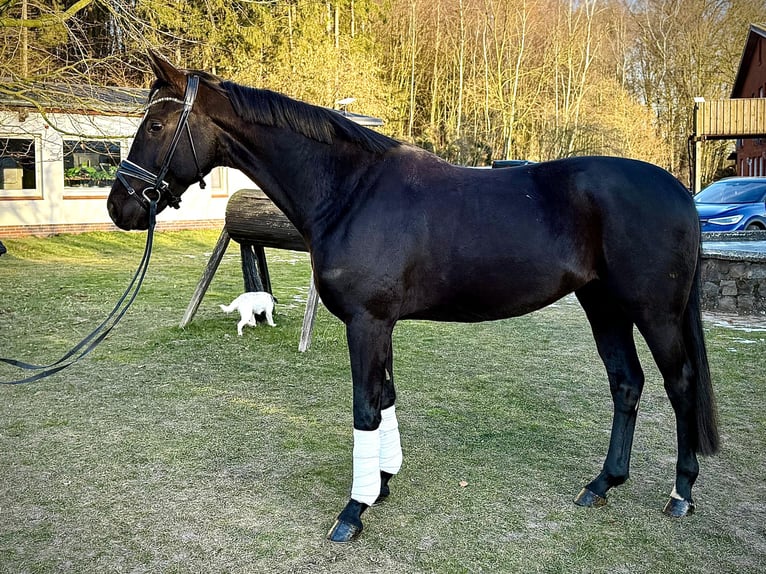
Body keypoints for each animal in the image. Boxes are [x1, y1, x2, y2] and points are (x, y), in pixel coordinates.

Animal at [106, 54, 720, 544]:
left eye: (156, 123)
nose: (120, 206)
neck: (352, 190)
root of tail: (679, 191)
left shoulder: (366, 322)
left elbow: (365, 406)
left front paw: (353, 511)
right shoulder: (381, 324)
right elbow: (386, 398)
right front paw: (381, 483)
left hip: (655, 313)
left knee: (679, 384)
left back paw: (681, 493)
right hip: (604, 306)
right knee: (627, 383)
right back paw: (602, 484)